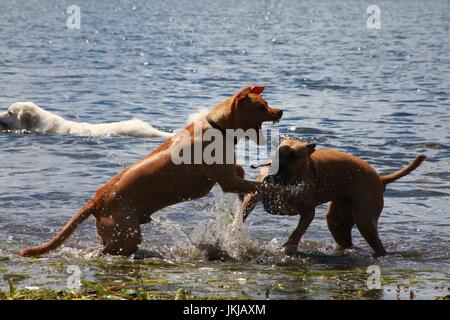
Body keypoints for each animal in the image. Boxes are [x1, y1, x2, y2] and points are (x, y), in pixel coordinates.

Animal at [241, 138, 428, 258]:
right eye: (278, 154)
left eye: (295, 156)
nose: (272, 176)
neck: (289, 183)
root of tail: (381, 179)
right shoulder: (253, 197)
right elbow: (242, 213)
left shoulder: (308, 213)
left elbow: (297, 231)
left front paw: (289, 247)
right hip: (337, 221)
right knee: (346, 240)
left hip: (365, 221)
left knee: (378, 247)